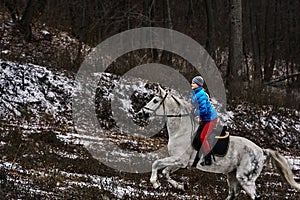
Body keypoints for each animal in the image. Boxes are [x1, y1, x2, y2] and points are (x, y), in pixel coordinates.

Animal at [138, 85, 300, 200]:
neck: (181, 130)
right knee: (233, 195)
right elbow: (165, 172)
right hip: (232, 176)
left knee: (254, 196)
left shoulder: (179, 159)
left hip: (245, 179)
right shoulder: (180, 162)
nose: (141, 113)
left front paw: (155, 183)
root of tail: (261, 150)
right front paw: (180, 186)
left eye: (155, 100)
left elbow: (156, 164)